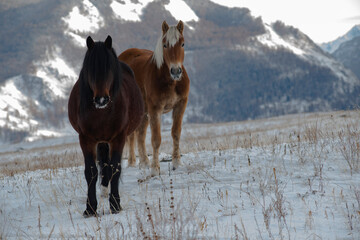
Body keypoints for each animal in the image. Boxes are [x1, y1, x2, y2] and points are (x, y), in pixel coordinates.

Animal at [68, 35, 143, 218]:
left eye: (109, 69)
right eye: (90, 70)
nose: (101, 99)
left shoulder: (118, 138)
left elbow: (115, 168)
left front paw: (115, 205)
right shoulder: (86, 139)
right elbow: (91, 172)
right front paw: (90, 208)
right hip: (100, 141)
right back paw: (102, 191)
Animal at [119, 21, 191, 176]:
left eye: (182, 44)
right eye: (165, 45)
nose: (176, 71)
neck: (170, 81)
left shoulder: (180, 106)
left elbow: (176, 133)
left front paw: (177, 163)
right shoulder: (155, 110)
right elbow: (156, 139)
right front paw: (155, 169)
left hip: (144, 113)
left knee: (139, 135)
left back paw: (144, 163)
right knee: (131, 136)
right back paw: (132, 163)